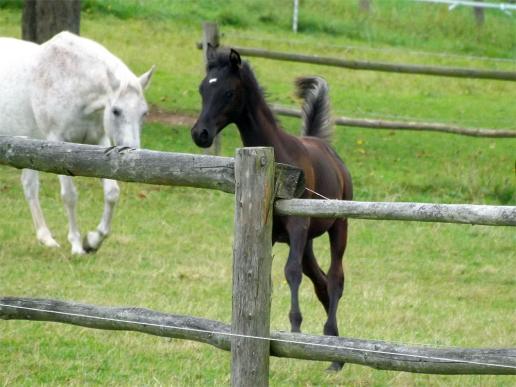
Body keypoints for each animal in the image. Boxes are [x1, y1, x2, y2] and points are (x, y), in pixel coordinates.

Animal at [0, 31, 155, 256]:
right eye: (116, 111)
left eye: (144, 113)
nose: (132, 150)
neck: (68, 79)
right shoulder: (57, 143)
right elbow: (69, 196)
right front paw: (76, 245)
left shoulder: (99, 144)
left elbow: (112, 192)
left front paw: (92, 240)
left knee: (29, 187)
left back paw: (47, 239)